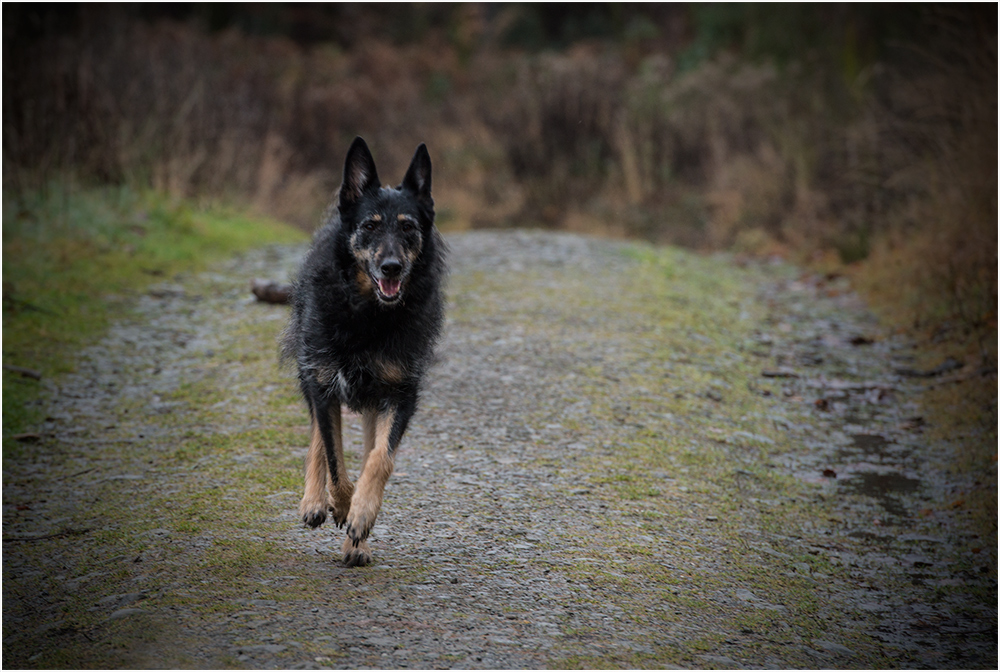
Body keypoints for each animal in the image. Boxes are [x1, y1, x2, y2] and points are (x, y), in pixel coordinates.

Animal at [282, 136, 446, 568]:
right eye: (370, 225)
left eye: (407, 227)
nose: (391, 267)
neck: (369, 313)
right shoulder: (323, 382)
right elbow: (334, 457)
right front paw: (339, 504)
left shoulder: (401, 393)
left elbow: (380, 458)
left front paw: (361, 515)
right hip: (312, 372)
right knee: (319, 436)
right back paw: (315, 501)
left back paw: (357, 542)